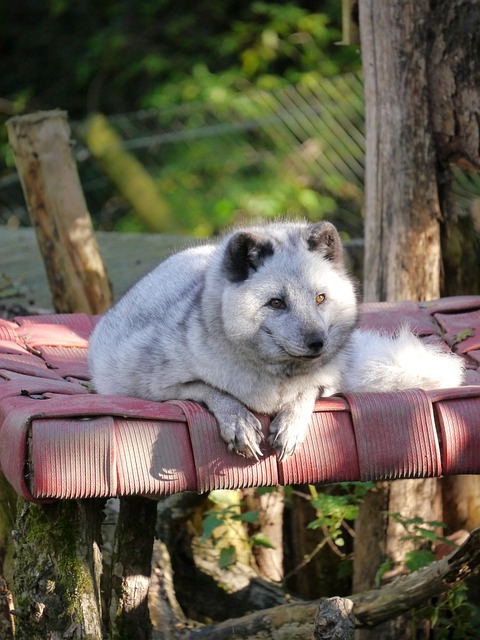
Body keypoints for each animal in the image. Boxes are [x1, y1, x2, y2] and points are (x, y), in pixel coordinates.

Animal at [88, 220, 464, 460]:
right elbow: (210, 390)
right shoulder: (150, 389)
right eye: (277, 303)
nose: (318, 343)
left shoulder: (328, 380)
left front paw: (291, 426)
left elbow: (308, 393)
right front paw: (239, 422)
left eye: (320, 298)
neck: (274, 383)